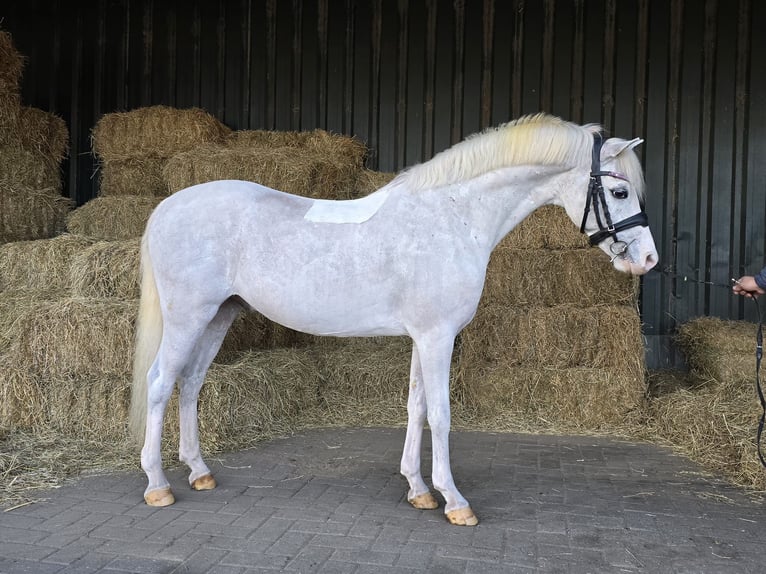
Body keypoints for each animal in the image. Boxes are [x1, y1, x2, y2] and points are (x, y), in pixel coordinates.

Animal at [127, 112, 660, 528]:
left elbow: (416, 408)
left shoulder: (425, 337)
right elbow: (441, 415)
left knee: (191, 384)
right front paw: (455, 501)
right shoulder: (437, 337)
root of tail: (168, 206)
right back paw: (157, 485)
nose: (648, 259)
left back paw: (199, 472)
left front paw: (420, 491)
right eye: (619, 191)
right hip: (188, 317)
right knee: (160, 383)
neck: (451, 216)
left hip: (219, 315)